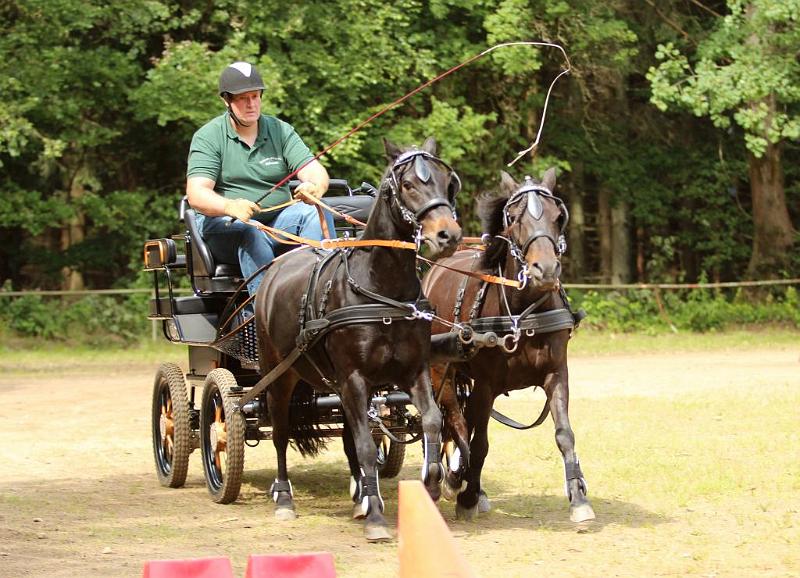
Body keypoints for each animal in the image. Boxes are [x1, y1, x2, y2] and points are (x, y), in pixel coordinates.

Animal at [253, 137, 460, 536]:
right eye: (408, 184)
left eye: (447, 182)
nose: (449, 235)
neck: (382, 291)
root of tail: (277, 266)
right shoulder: (355, 378)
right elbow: (365, 445)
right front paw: (377, 516)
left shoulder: (413, 372)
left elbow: (431, 421)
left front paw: (430, 485)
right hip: (279, 374)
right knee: (281, 431)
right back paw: (284, 497)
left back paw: (361, 494)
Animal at [424, 168, 592, 520]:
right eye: (514, 218)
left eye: (558, 217)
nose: (546, 269)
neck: (521, 312)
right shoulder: (486, 384)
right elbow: (480, 443)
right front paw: (467, 495)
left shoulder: (557, 375)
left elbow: (564, 434)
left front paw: (578, 496)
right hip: (440, 369)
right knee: (455, 420)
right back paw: (453, 480)